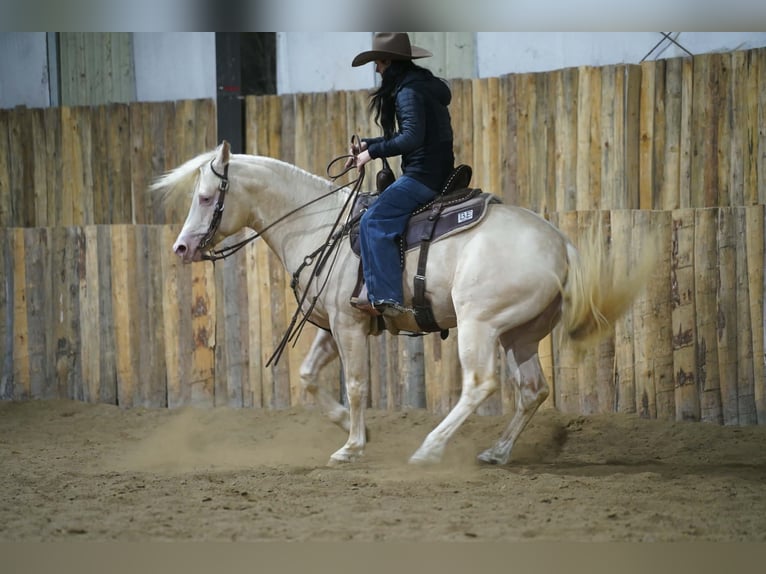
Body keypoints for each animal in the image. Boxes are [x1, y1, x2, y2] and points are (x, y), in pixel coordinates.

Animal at [152, 140, 652, 466]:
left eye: (205, 198)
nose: (181, 248)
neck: (319, 228)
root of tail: (559, 243)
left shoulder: (348, 325)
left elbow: (355, 384)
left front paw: (351, 447)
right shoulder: (337, 324)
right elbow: (309, 376)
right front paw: (353, 429)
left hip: (481, 324)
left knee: (481, 385)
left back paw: (429, 449)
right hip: (520, 334)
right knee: (532, 390)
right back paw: (495, 452)